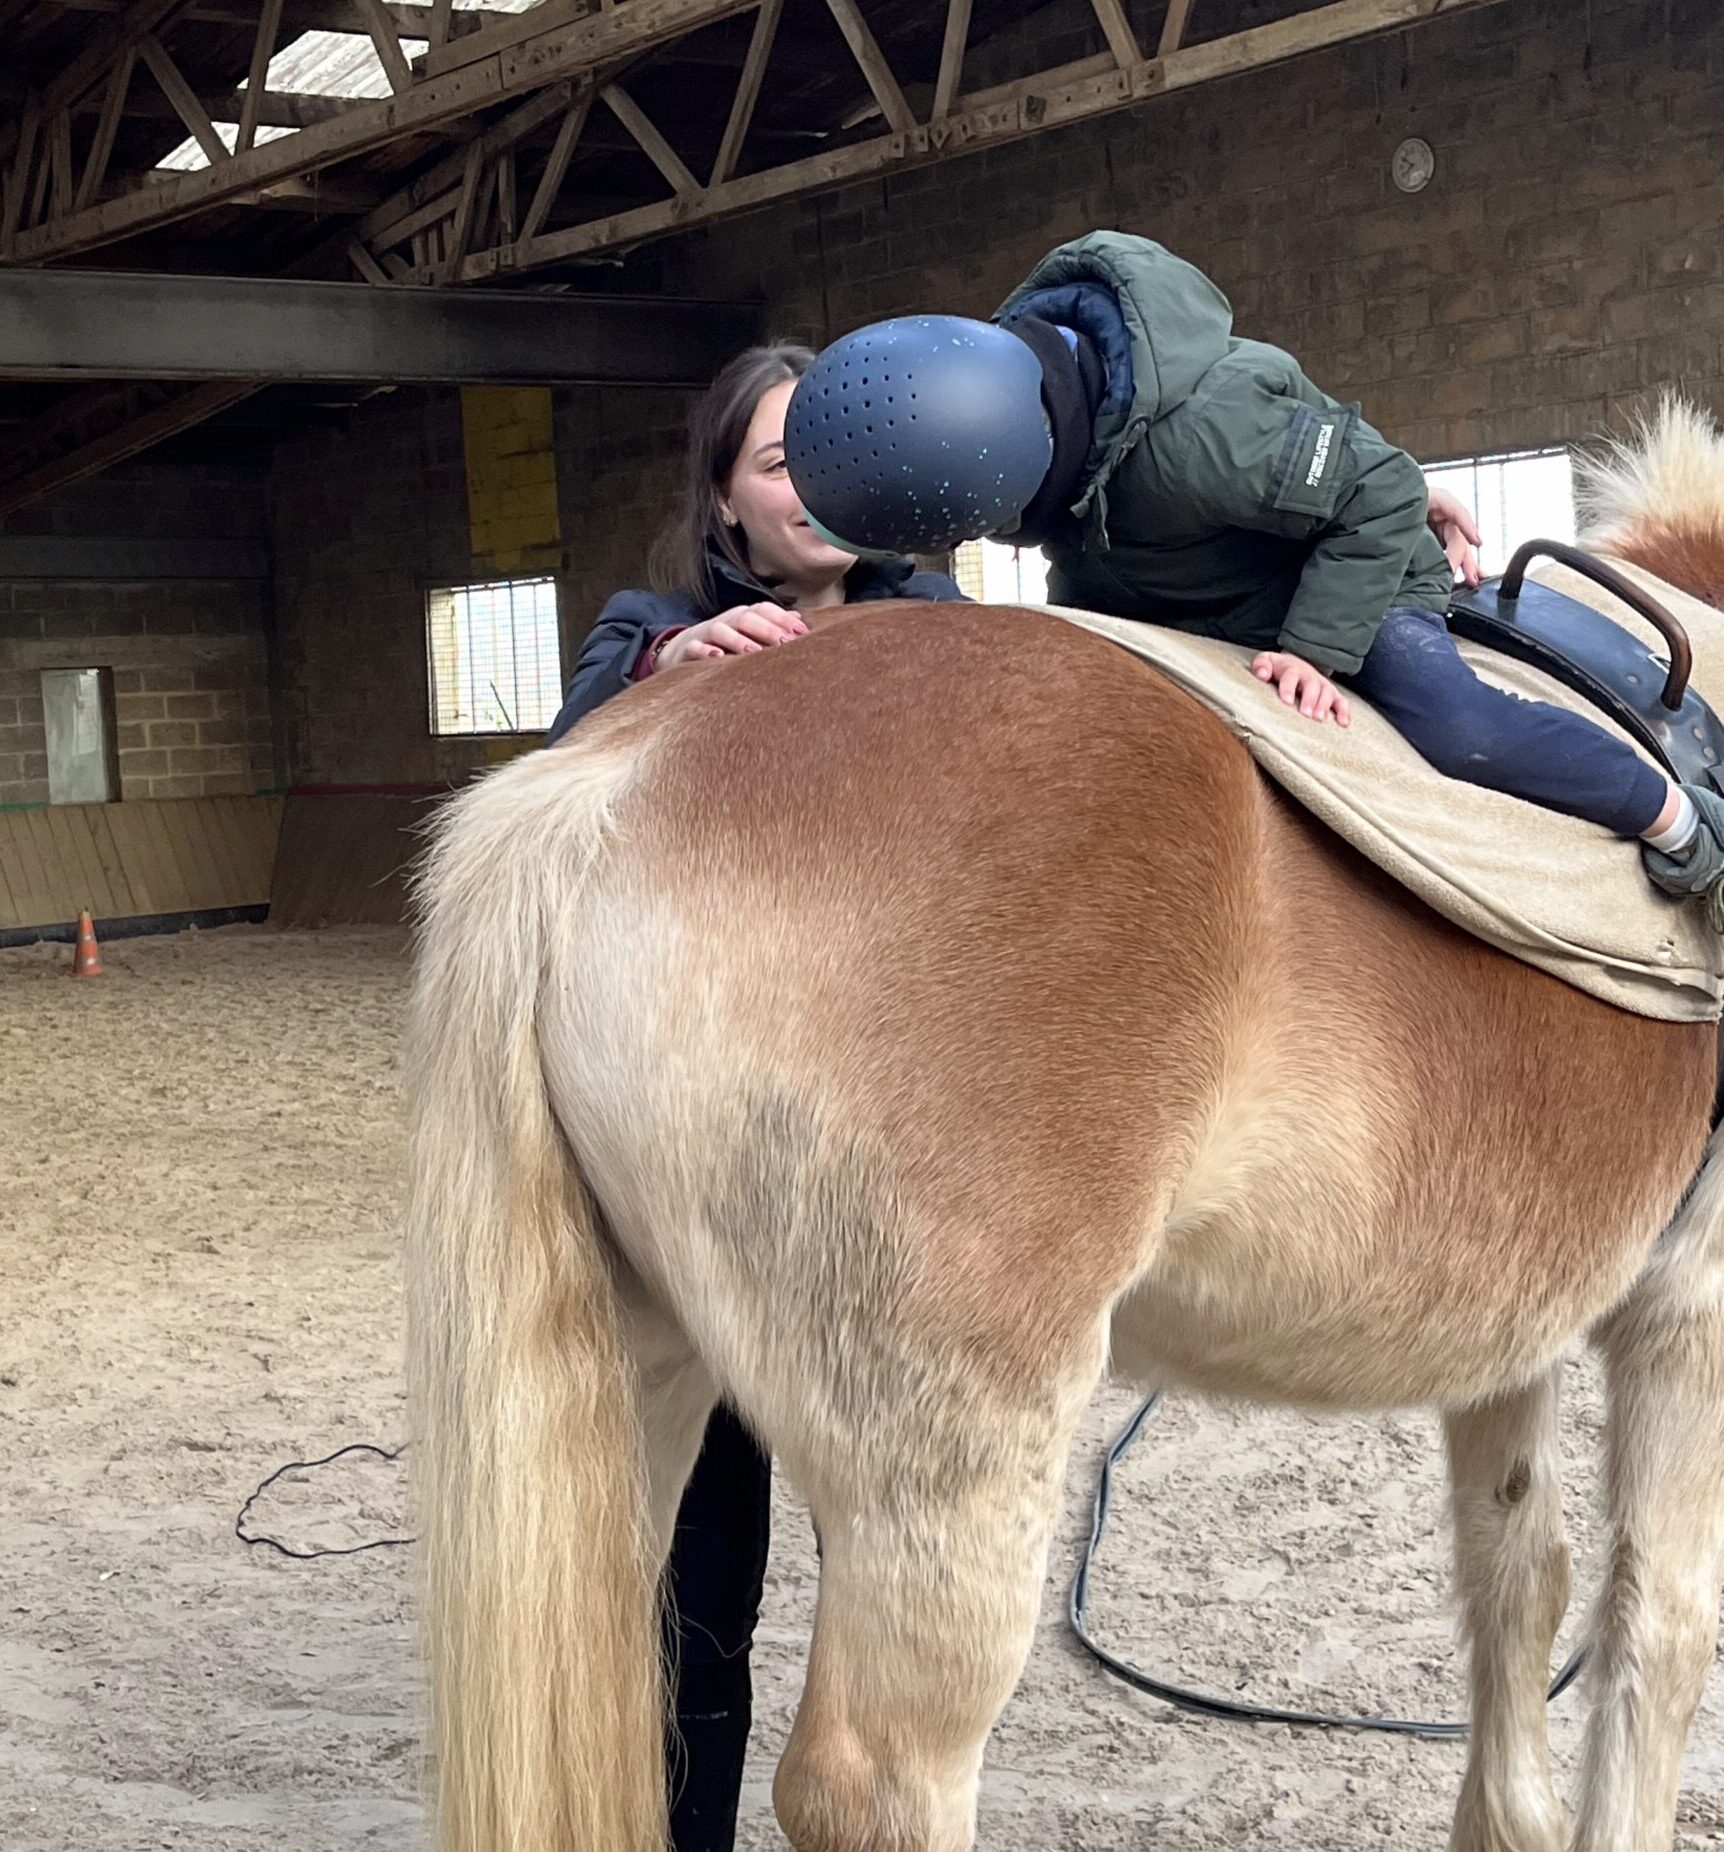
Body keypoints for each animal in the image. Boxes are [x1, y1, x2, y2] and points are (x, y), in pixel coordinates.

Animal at [405, 398, 1724, 1852]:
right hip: (954, 1469)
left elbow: (1517, 1570)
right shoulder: (1686, 1321)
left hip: (631, 1395)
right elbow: (1655, 1624)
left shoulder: (1508, 1329)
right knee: (879, 1781)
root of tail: (611, 777)